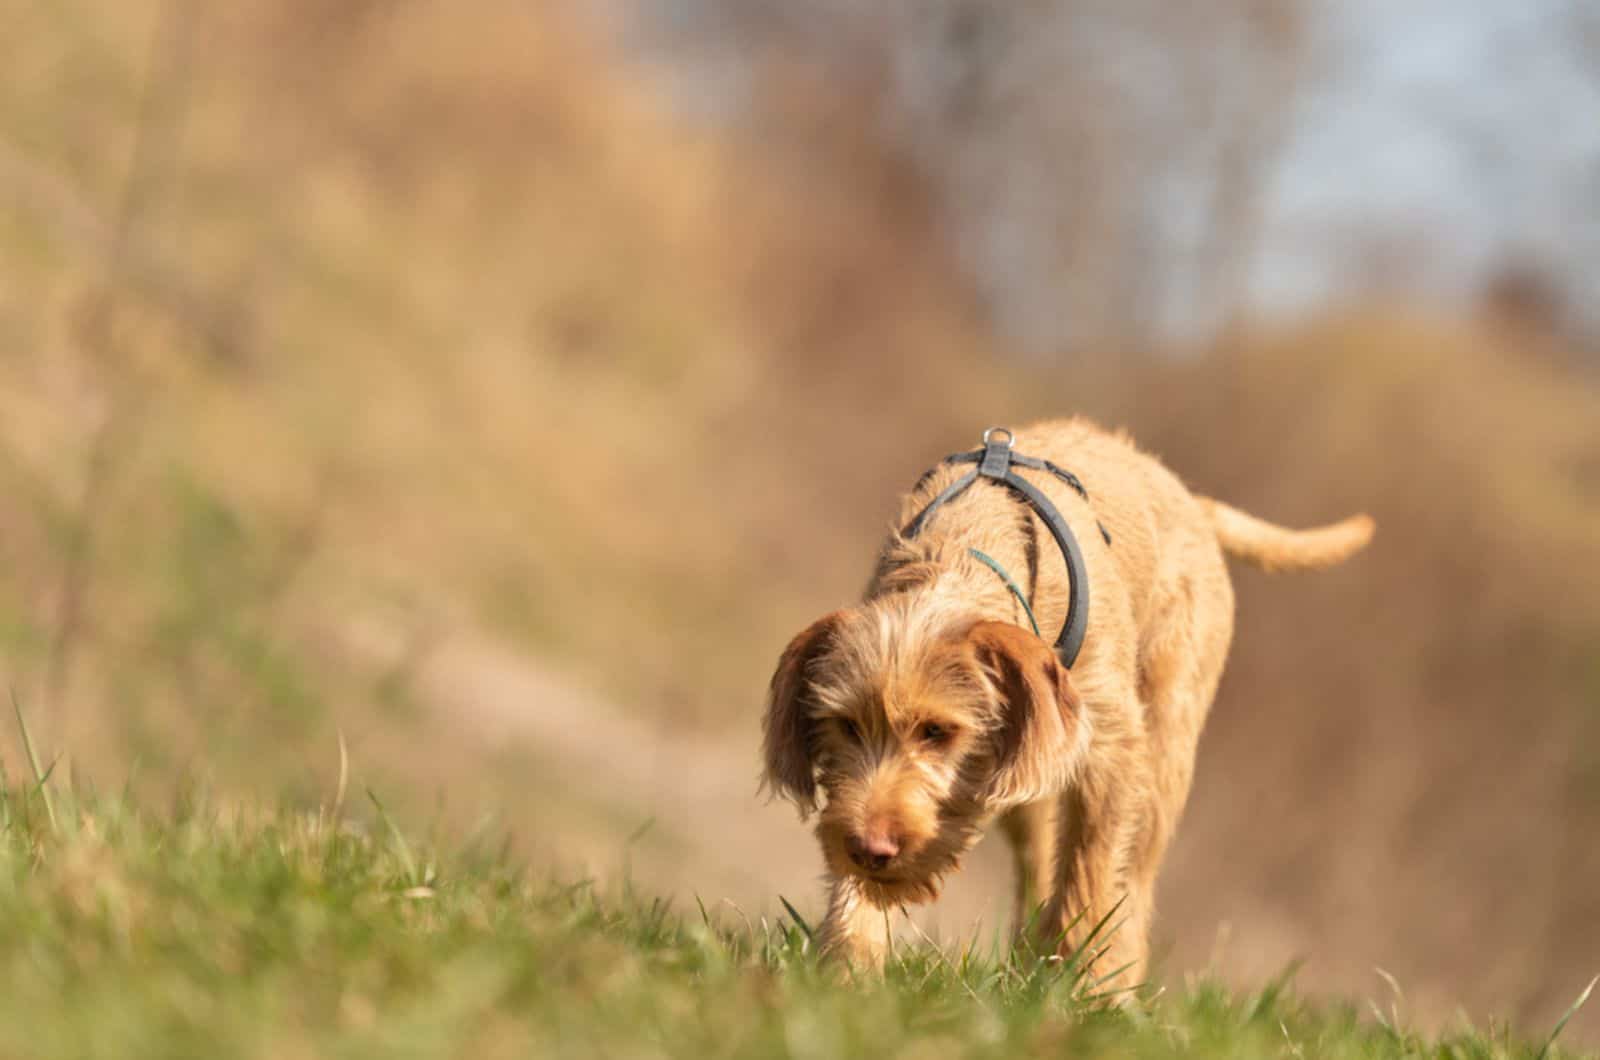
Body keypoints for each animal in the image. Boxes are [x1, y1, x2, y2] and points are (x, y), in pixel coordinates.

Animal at [761, 419, 1376, 992]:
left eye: (938, 731)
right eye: (845, 725)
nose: (870, 847)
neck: (961, 554)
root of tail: (1189, 501)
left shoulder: (1111, 750)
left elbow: (1094, 872)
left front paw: (1084, 989)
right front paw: (849, 970)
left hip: (1165, 748)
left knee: (1136, 875)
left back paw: (1111, 982)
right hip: (1026, 775)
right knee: (1039, 861)